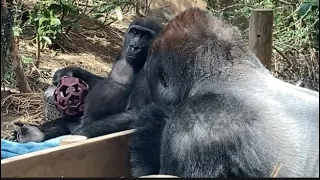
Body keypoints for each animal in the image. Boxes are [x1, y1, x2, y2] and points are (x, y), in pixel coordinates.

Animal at [12, 17, 164, 142]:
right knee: (66, 122)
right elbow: (102, 80)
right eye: (134, 32)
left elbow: (135, 112)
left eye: (146, 36)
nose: (134, 46)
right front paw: (69, 71)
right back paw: (33, 133)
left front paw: (80, 135)